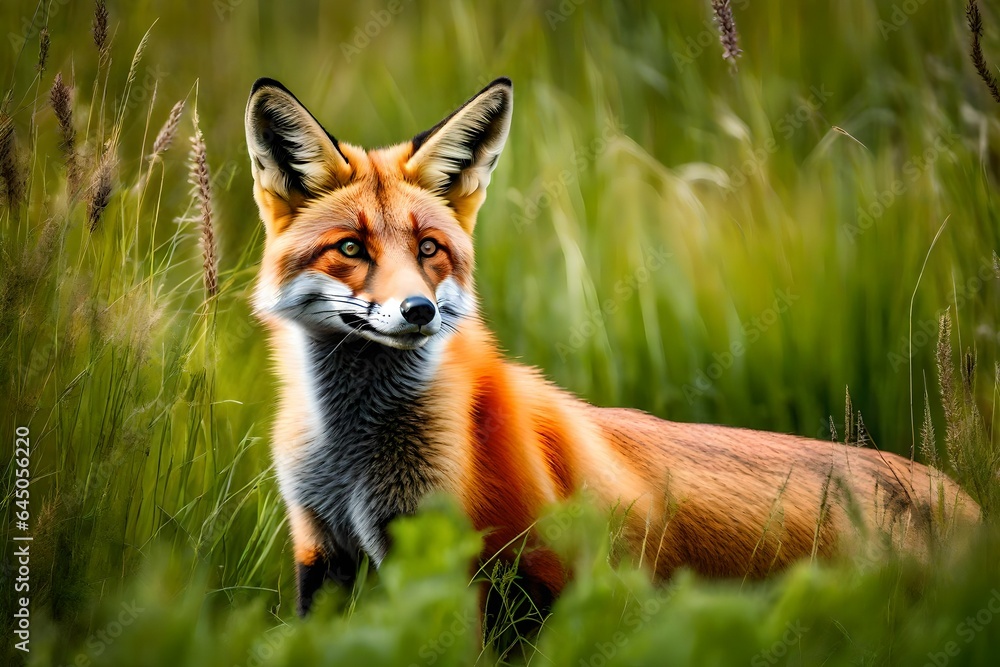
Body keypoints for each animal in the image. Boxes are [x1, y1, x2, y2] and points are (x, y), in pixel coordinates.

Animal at [243, 76, 980, 618]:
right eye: (351, 249)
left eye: (428, 249)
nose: (418, 311)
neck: (354, 462)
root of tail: (964, 499)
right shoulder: (325, 554)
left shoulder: (510, 570)